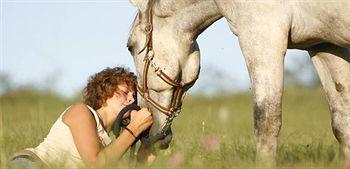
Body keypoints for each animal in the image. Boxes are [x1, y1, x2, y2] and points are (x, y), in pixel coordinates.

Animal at [127, 0, 350, 166]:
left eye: (130, 46)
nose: (146, 133)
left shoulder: (261, 36)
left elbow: (266, 123)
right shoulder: (323, 44)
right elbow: (342, 125)